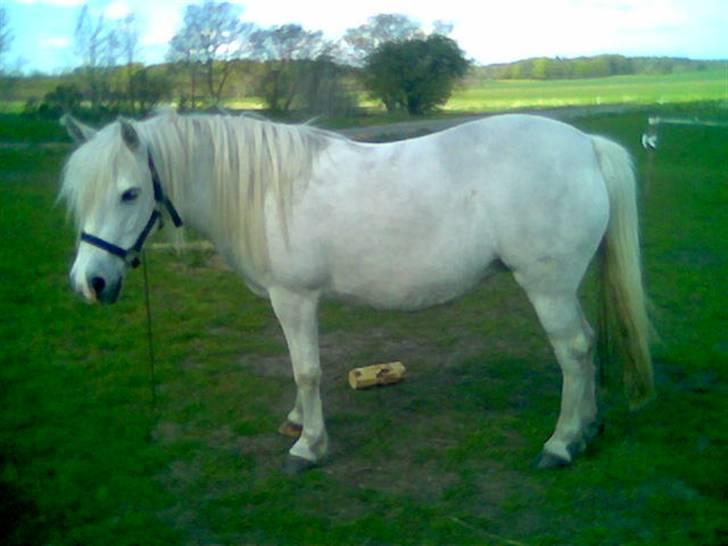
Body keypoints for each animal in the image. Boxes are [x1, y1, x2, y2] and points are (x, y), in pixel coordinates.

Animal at [59, 110, 654, 473]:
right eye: (80, 197)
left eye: (129, 193)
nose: (91, 283)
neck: (266, 191)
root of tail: (586, 146)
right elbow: (299, 370)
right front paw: (299, 421)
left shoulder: (294, 297)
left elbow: (306, 369)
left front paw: (308, 447)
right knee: (587, 346)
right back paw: (588, 428)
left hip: (547, 287)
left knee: (573, 351)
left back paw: (562, 443)